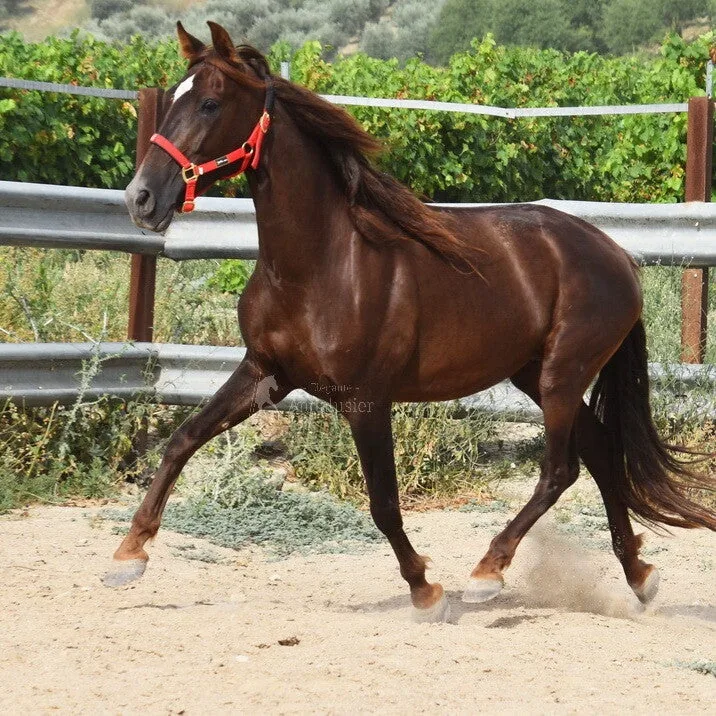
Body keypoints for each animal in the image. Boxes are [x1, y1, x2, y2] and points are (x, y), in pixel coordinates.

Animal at [109, 20, 716, 622]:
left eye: (210, 103)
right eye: (173, 97)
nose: (141, 198)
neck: (323, 264)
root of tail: (617, 254)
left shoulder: (365, 400)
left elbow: (383, 503)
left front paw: (427, 591)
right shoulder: (265, 374)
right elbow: (182, 439)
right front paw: (128, 555)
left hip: (562, 375)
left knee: (561, 470)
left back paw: (487, 573)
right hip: (534, 374)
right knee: (602, 455)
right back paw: (640, 578)